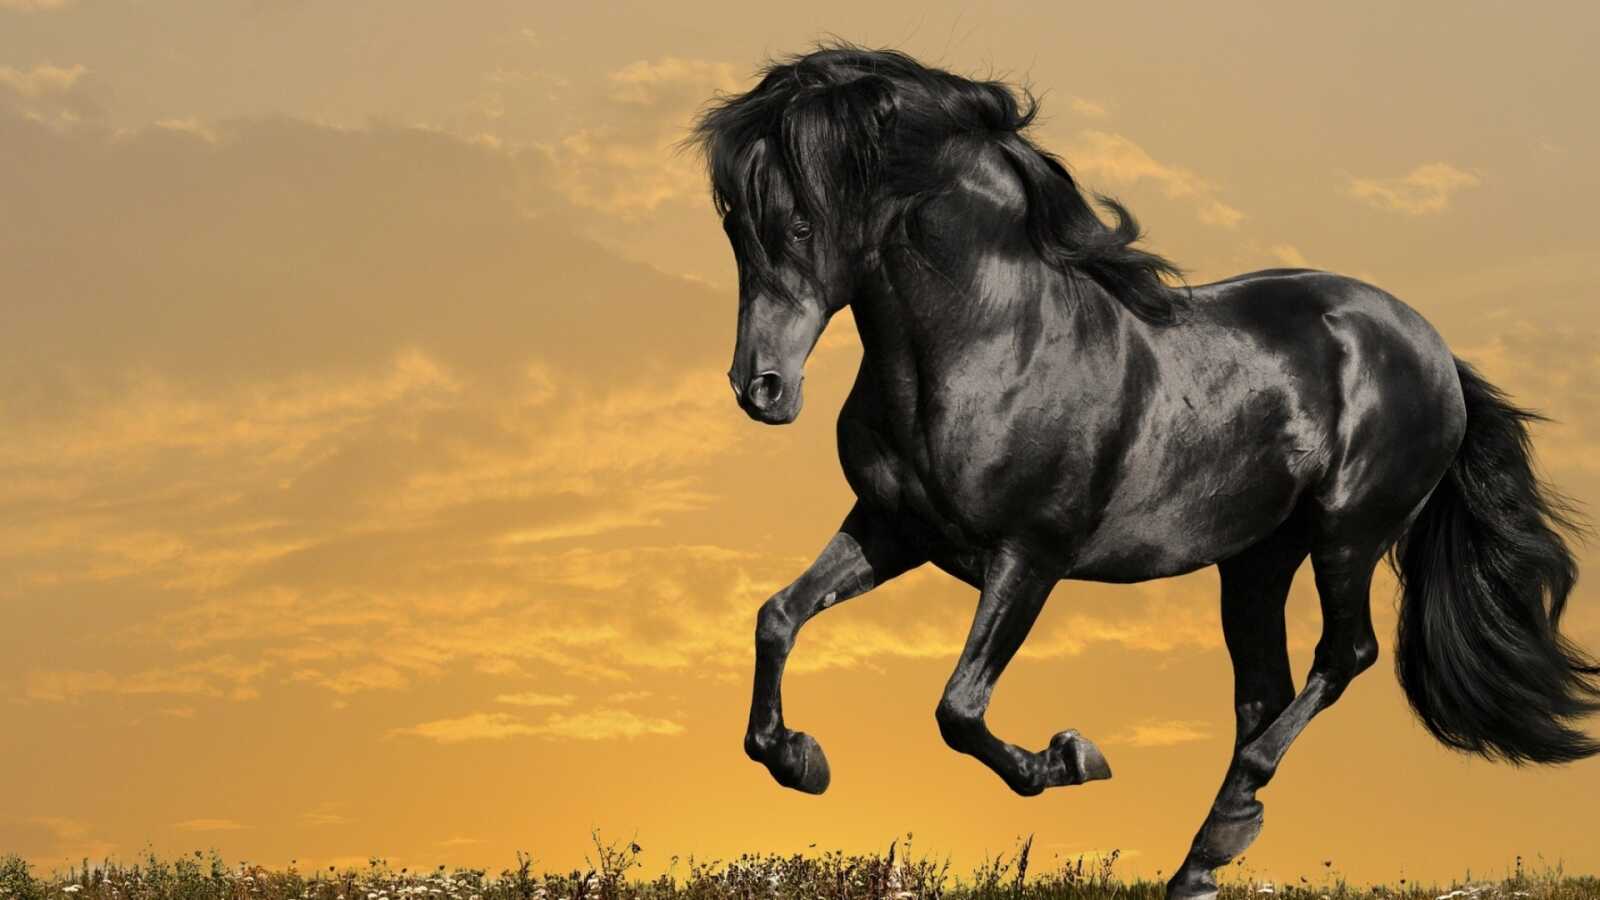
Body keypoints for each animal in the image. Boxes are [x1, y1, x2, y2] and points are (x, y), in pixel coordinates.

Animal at [691, 44, 1597, 900]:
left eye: (800, 224)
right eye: (734, 226)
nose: (760, 388)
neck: (993, 344)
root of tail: (1433, 349)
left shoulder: (1030, 558)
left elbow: (959, 708)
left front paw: (1071, 757)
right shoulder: (892, 529)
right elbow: (778, 617)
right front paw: (799, 759)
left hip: (1348, 536)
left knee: (1345, 657)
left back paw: (1229, 823)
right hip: (1256, 560)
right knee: (1263, 691)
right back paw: (1199, 864)